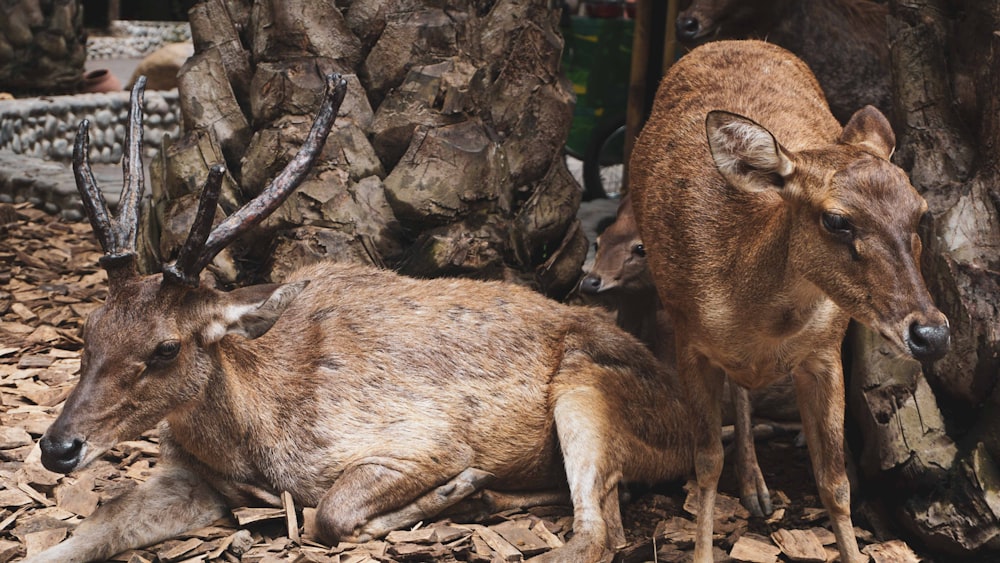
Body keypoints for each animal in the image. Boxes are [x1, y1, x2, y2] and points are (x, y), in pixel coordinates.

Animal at [25, 76, 704, 563]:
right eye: (87, 331)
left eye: (166, 348)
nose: (57, 447)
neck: (252, 437)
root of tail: (688, 410)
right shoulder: (193, 478)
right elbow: (99, 524)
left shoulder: (420, 439)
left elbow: (329, 514)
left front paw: (451, 489)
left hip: (588, 388)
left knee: (597, 533)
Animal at [628, 40, 948, 563]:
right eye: (837, 220)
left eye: (920, 211)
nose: (932, 334)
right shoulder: (689, 340)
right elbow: (705, 464)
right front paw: (701, 551)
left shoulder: (824, 352)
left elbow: (834, 482)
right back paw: (755, 488)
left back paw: (759, 489)